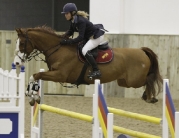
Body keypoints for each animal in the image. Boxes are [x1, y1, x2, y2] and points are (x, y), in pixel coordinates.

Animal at [15, 25, 163, 104]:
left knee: (149, 80)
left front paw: (32, 95)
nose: (17, 62)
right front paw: (32, 95)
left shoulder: (59, 75)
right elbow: (34, 76)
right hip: (123, 81)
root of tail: (141, 51)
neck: (57, 48)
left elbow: (36, 75)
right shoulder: (53, 73)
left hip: (134, 80)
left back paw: (151, 97)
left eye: (21, 43)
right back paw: (147, 96)